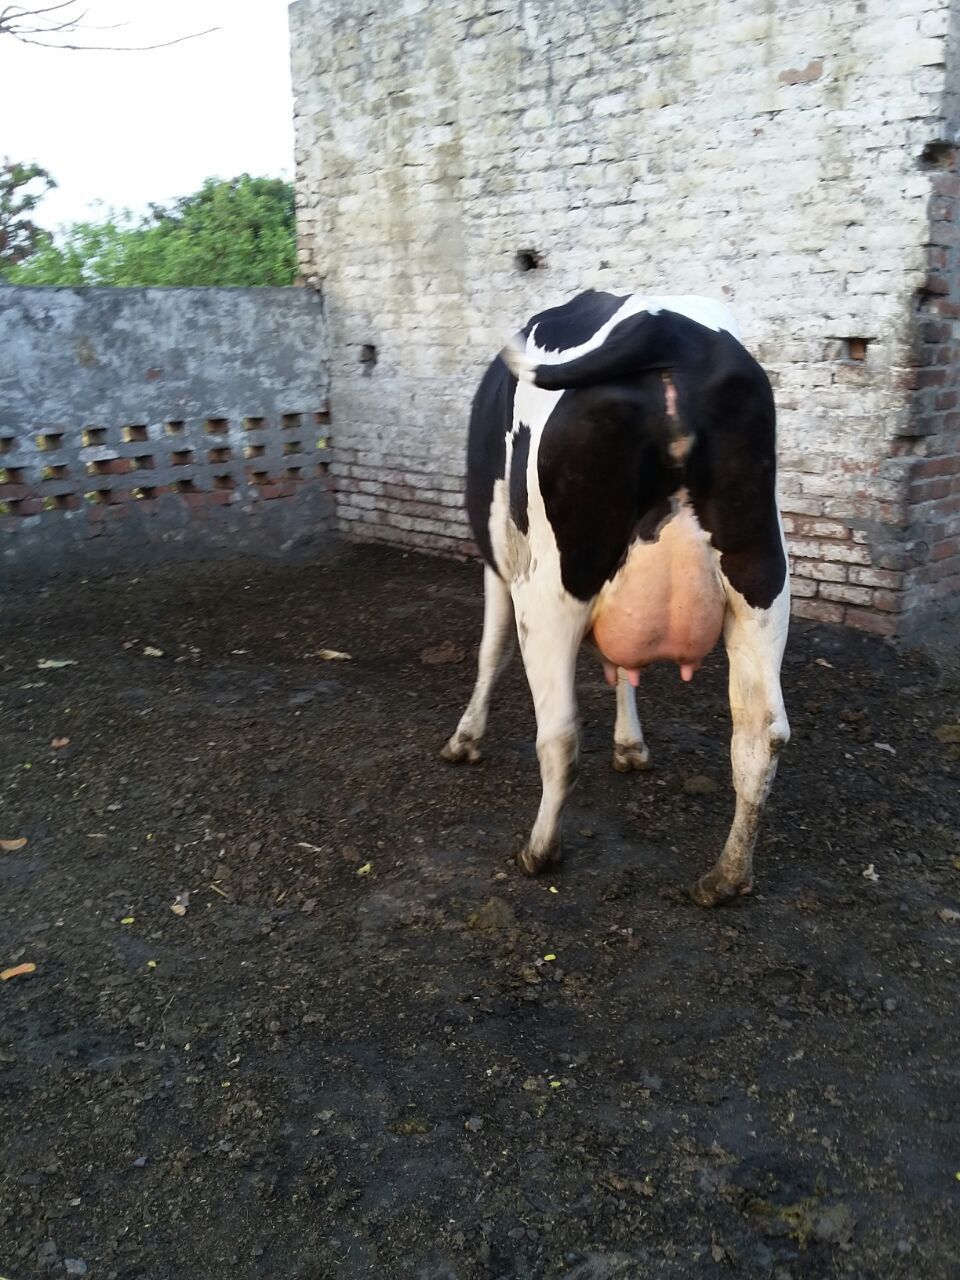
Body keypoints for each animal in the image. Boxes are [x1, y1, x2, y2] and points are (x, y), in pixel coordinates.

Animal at [442, 293, 788, 911]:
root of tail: (666, 327)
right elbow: (626, 667)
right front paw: (631, 745)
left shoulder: (499, 563)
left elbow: (490, 651)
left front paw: (465, 737)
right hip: (762, 577)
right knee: (761, 734)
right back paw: (725, 877)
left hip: (551, 588)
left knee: (559, 733)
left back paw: (540, 850)